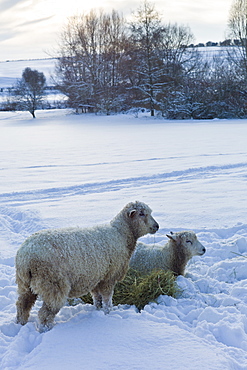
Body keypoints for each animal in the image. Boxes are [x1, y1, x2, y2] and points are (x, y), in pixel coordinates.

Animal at [15, 201, 159, 330]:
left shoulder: (96, 277)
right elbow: (107, 298)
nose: (157, 226)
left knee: (22, 305)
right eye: (141, 213)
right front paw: (108, 312)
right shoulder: (109, 276)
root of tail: (25, 257)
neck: (121, 235)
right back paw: (46, 329)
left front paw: (98, 310)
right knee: (45, 312)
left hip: (25, 285)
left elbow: (97, 297)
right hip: (53, 284)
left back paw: (20, 323)